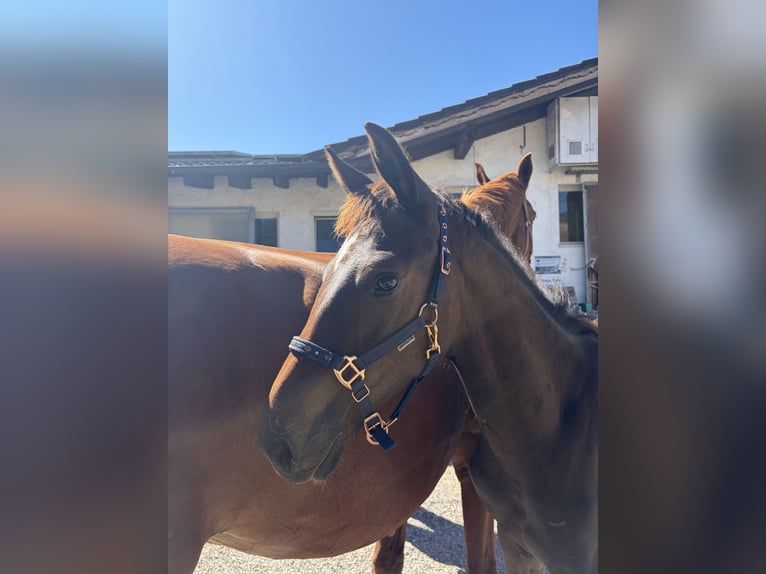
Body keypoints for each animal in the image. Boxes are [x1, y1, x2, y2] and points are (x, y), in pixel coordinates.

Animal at [168, 150, 538, 574]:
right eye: (533, 215)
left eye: (385, 281)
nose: (279, 431)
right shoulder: (471, 472)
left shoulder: (398, 491)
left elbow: (388, 558)